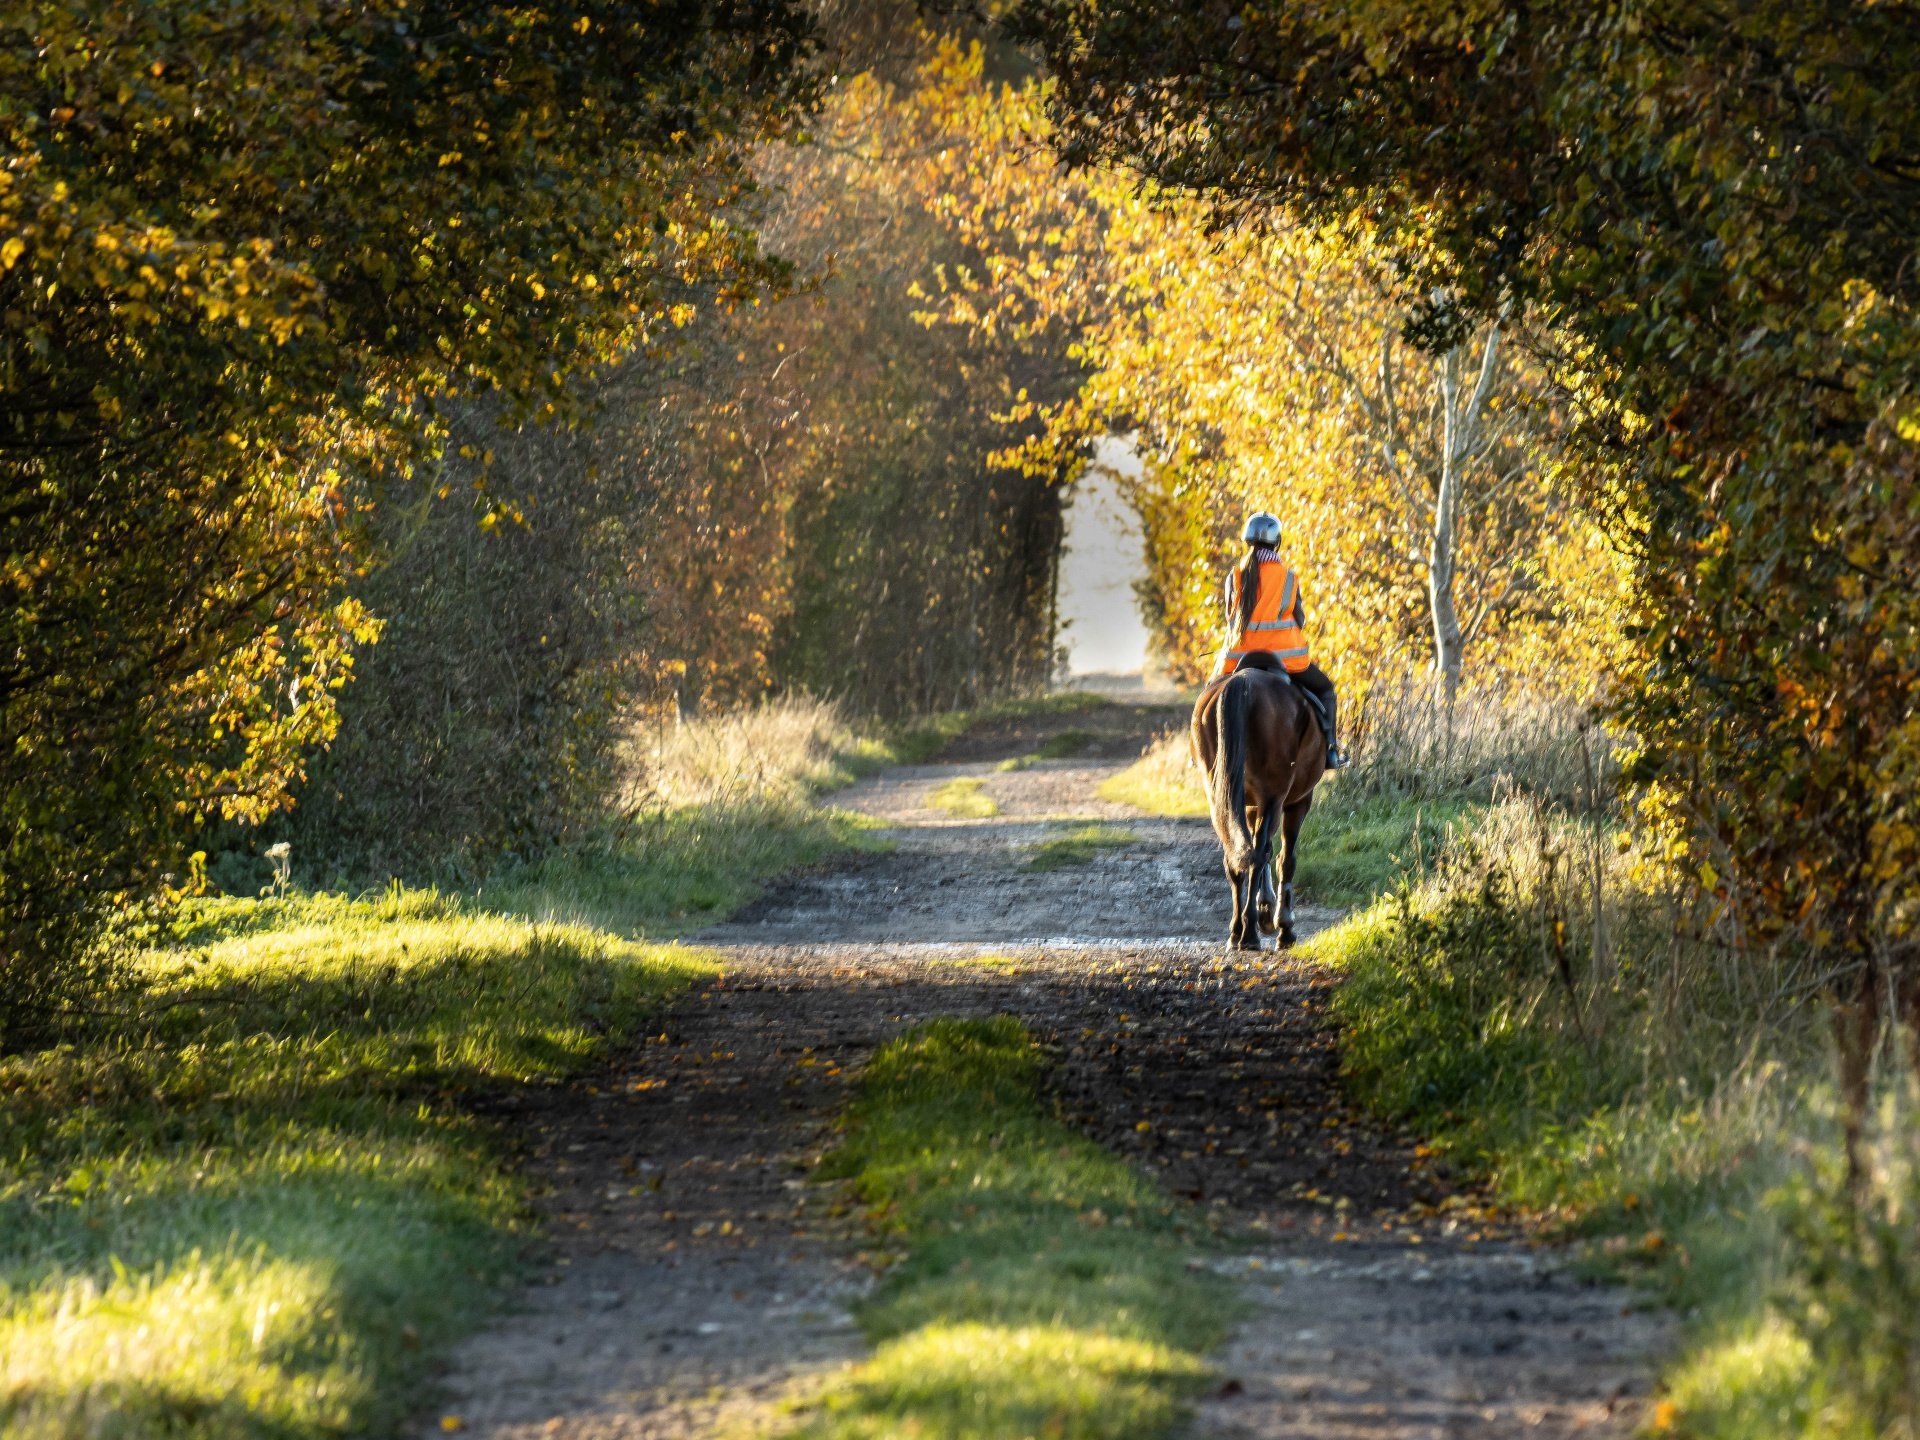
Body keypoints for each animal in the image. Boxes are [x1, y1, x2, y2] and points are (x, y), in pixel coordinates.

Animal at [1190, 662, 1329, 949]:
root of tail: (1243, 681)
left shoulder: (1251, 805)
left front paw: (1266, 910)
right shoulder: (1297, 801)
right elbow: (1285, 859)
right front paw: (1283, 925)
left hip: (1220, 796)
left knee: (1236, 856)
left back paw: (1237, 932)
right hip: (1275, 796)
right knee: (1259, 852)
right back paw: (1250, 934)